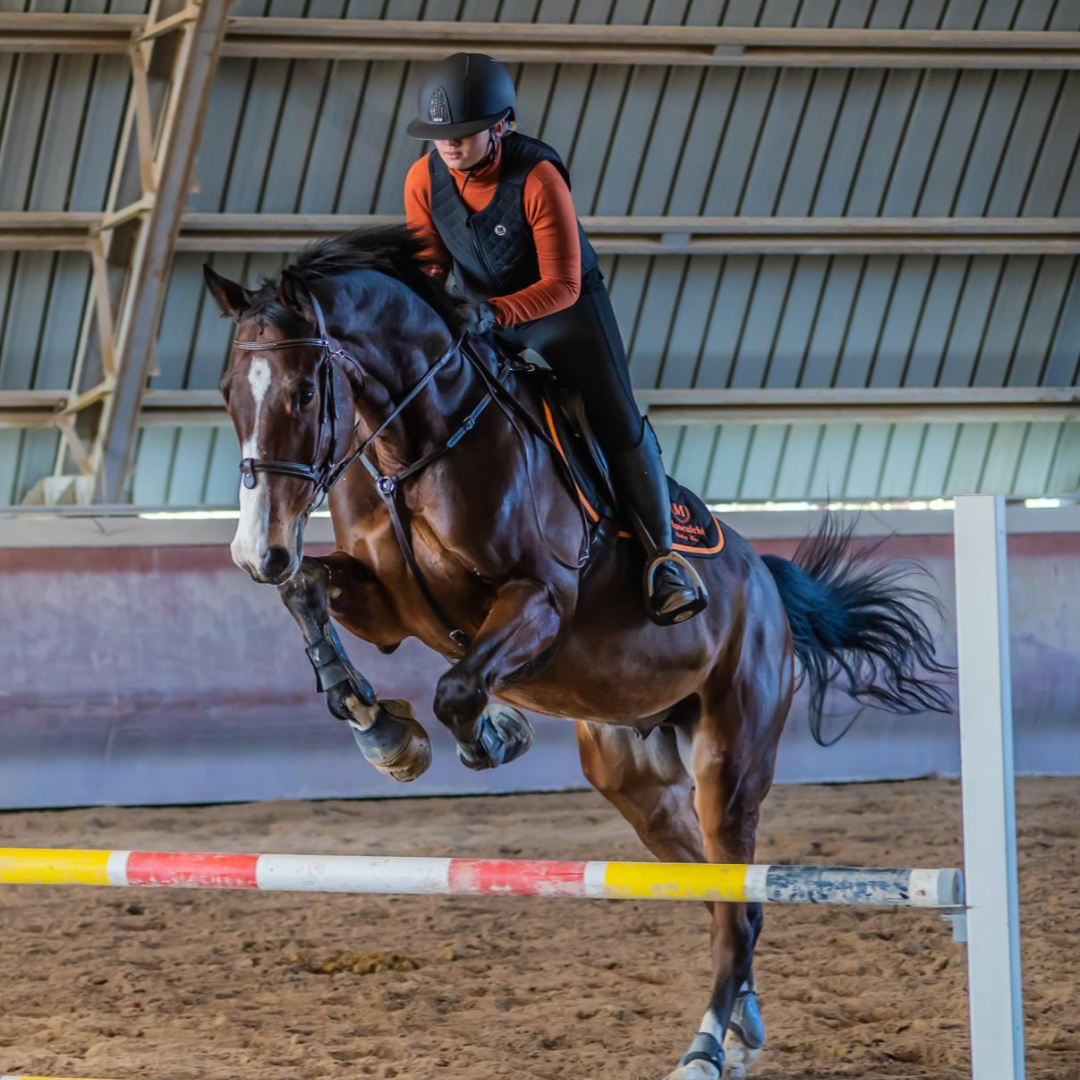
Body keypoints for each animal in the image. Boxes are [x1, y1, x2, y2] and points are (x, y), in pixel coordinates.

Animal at [200, 225, 946, 1080]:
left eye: (301, 394)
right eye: (229, 392)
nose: (256, 551)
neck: (414, 450)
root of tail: (767, 584)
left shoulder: (539, 603)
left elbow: (458, 688)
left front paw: (491, 735)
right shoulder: (389, 605)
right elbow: (307, 595)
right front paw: (383, 732)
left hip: (729, 761)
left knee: (734, 901)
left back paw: (704, 1046)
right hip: (636, 780)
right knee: (727, 897)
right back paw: (741, 1029)